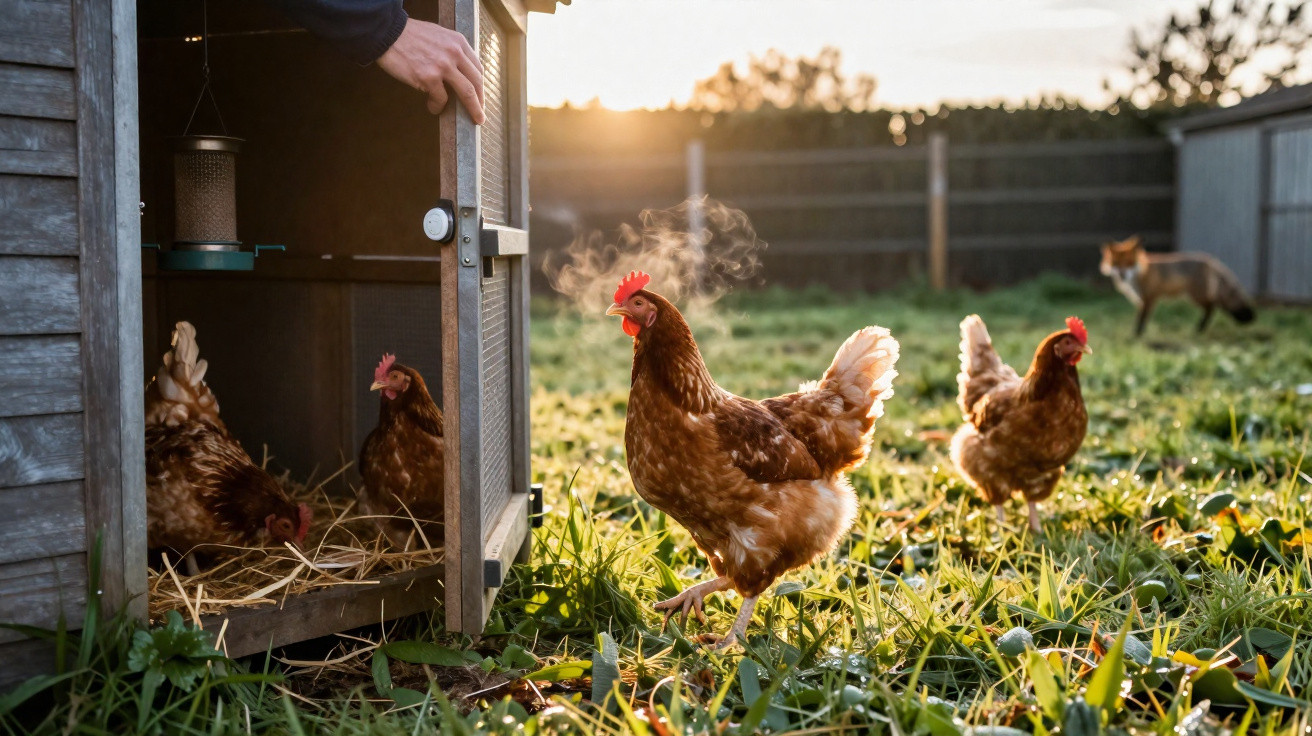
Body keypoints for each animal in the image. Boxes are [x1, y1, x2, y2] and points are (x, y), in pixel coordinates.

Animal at [1100, 235, 1255, 336]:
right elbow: (1141, 318)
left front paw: (1137, 335)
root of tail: (1210, 259)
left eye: (1129, 263)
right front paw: (1137, 335)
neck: (1140, 273)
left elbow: (1141, 320)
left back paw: (1199, 328)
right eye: (1116, 263)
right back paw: (1201, 328)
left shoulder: (1149, 298)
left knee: (1212, 306)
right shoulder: (1141, 300)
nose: (1122, 275)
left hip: (1196, 296)